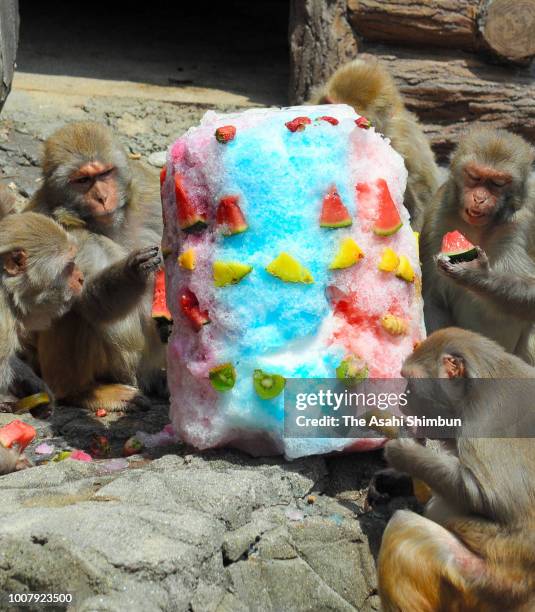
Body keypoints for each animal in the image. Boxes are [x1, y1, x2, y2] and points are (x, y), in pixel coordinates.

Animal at [26, 123, 165, 412]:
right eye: (82, 181)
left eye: (103, 174)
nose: (102, 197)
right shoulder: (62, 231)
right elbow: (87, 296)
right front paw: (133, 271)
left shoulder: (148, 193)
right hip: (118, 367)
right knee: (70, 304)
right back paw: (83, 392)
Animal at [422, 126, 535, 360]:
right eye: (474, 177)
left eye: (498, 183)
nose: (480, 198)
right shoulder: (438, 213)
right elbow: (432, 299)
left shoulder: (528, 216)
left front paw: (476, 276)